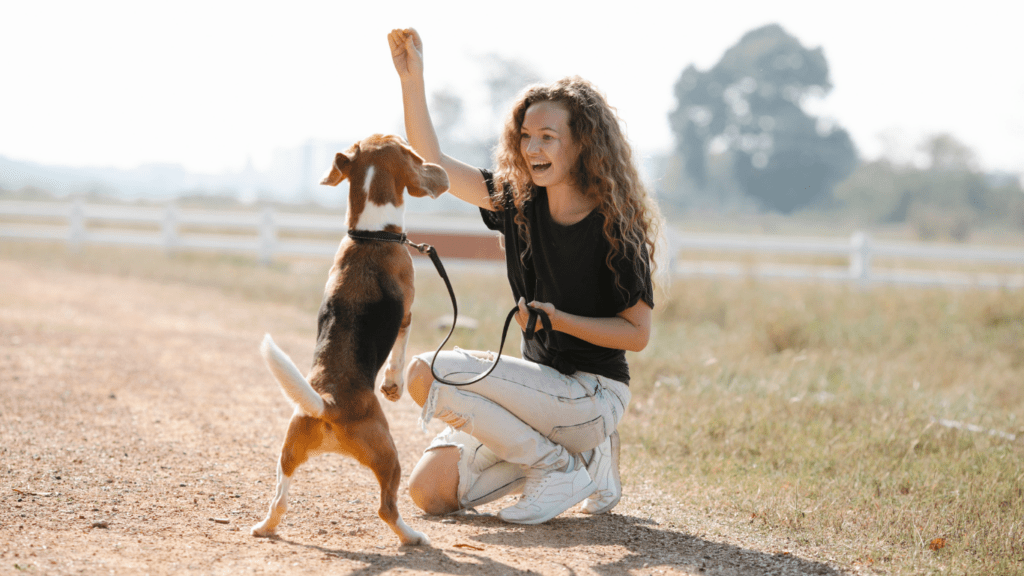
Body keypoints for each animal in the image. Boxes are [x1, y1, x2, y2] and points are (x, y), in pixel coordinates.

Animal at [249, 133, 446, 541]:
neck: (369, 236)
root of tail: (328, 404)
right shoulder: (407, 314)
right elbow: (399, 353)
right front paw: (393, 385)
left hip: (287, 451)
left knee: (279, 500)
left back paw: (264, 527)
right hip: (390, 455)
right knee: (386, 509)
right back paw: (412, 537)